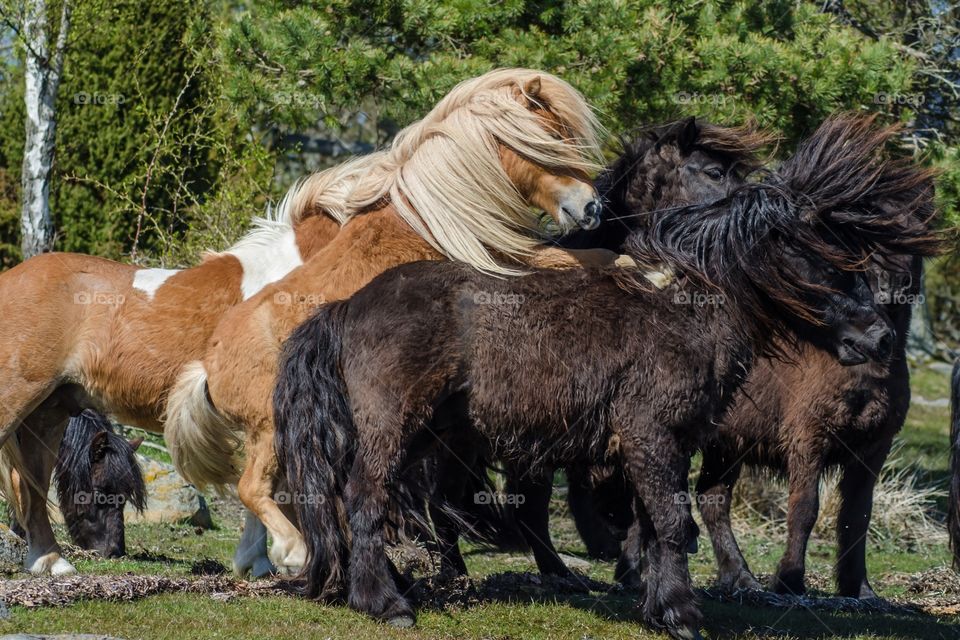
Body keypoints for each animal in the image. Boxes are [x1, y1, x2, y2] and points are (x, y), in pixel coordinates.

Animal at [164, 69, 616, 576]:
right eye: (552, 141)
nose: (592, 207)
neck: (430, 217)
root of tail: (207, 368)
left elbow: (593, 258)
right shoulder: (506, 270)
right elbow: (590, 260)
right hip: (272, 430)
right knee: (253, 489)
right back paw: (296, 553)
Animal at [274, 116, 932, 640]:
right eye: (824, 260)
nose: (880, 338)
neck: (679, 314)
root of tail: (347, 306)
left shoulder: (660, 445)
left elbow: (657, 524)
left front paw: (656, 605)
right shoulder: (651, 437)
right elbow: (671, 522)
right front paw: (682, 615)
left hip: (429, 439)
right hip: (394, 429)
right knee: (366, 498)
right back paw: (386, 604)